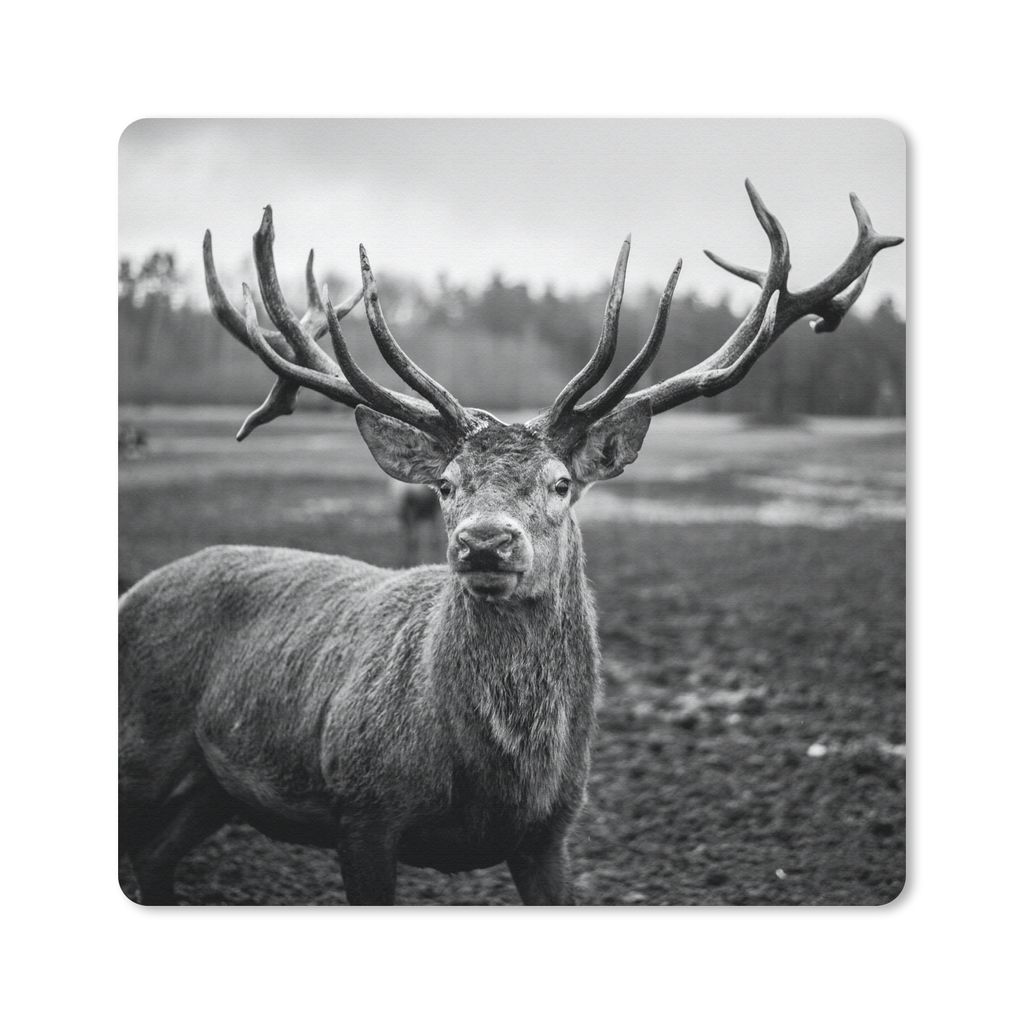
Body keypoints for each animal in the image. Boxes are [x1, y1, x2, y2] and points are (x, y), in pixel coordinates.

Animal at [118, 181, 902, 905]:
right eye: (446, 484)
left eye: (561, 483)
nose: (486, 543)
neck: (498, 781)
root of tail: (135, 591)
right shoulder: (363, 808)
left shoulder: (551, 833)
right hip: (140, 754)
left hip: (212, 790)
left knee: (153, 859)